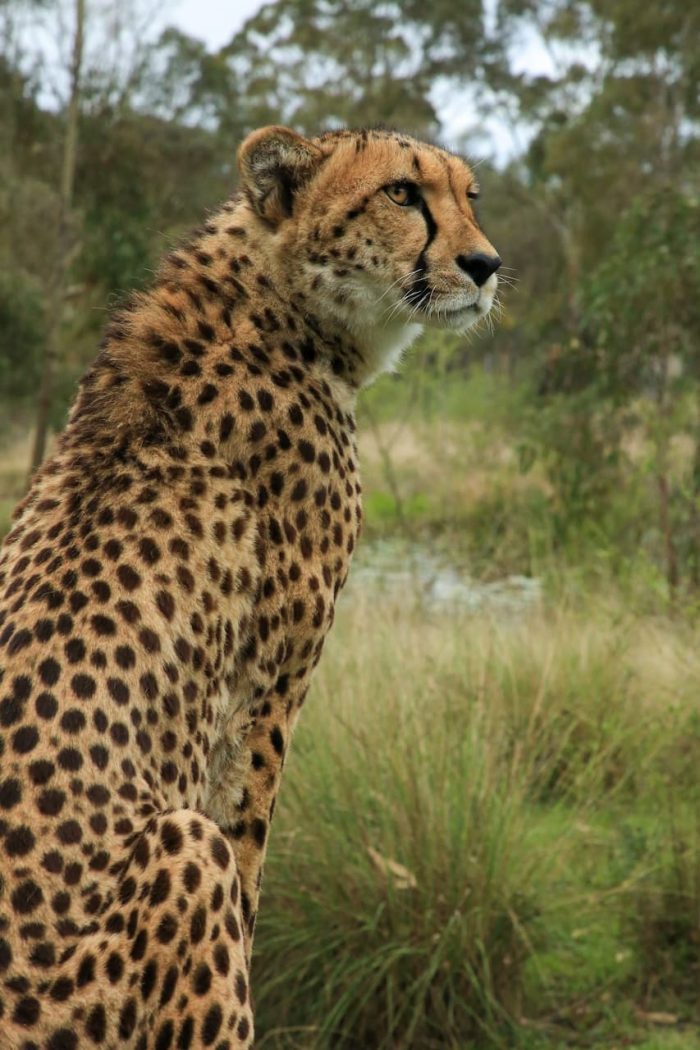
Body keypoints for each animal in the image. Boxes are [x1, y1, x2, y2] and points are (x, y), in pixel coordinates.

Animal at [0, 124, 500, 1048]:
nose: (486, 264)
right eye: (402, 192)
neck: (275, 298)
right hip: (178, 853)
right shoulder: (267, 691)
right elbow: (249, 845)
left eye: (468, 195)